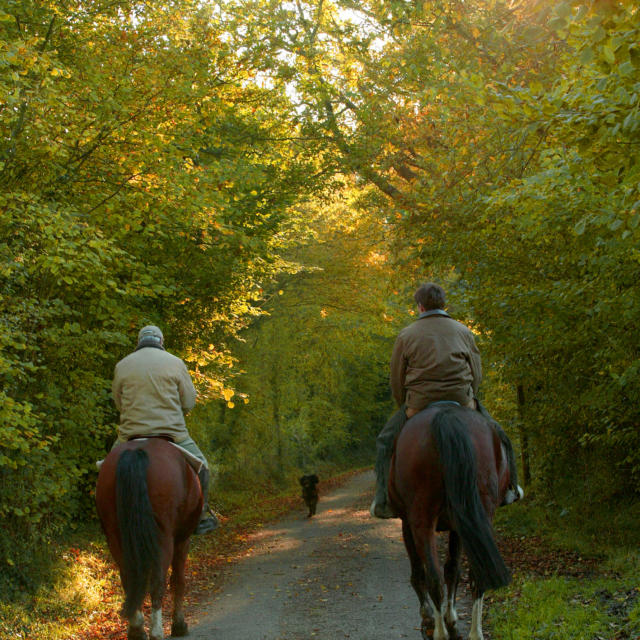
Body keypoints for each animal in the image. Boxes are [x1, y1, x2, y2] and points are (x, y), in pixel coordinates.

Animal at [93, 438, 200, 636]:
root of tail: (135, 452)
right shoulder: (182, 540)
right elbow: (178, 581)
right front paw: (179, 625)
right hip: (163, 537)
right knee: (158, 582)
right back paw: (156, 632)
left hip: (116, 537)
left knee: (129, 579)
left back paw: (137, 630)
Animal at [388, 404, 512, 640]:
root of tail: (445, 415)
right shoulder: (460, 525)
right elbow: (453, 570)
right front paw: (452, 621)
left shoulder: (407, 523)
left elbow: (421, 573)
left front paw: (430, 620)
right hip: (479, 513)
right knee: (475, 574)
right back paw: (474, 633)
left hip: (422, 519)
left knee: (433, 577)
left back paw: (438, 631)